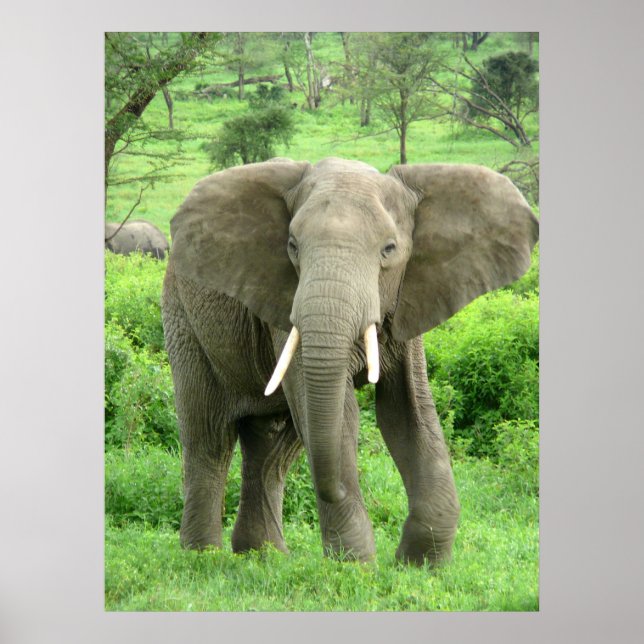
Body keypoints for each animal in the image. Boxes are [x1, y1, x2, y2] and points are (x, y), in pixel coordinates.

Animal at [161, 157, 539, 565]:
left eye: (389, 249)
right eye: (292, 246)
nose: (338, 489)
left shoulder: (408, 299)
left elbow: (408, 411)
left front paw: (419, 565)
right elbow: (340, 415)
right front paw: (355, 566)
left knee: (272, 449)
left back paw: (265, 557)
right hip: (183, 319)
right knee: (209, 437)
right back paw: (203, 557)